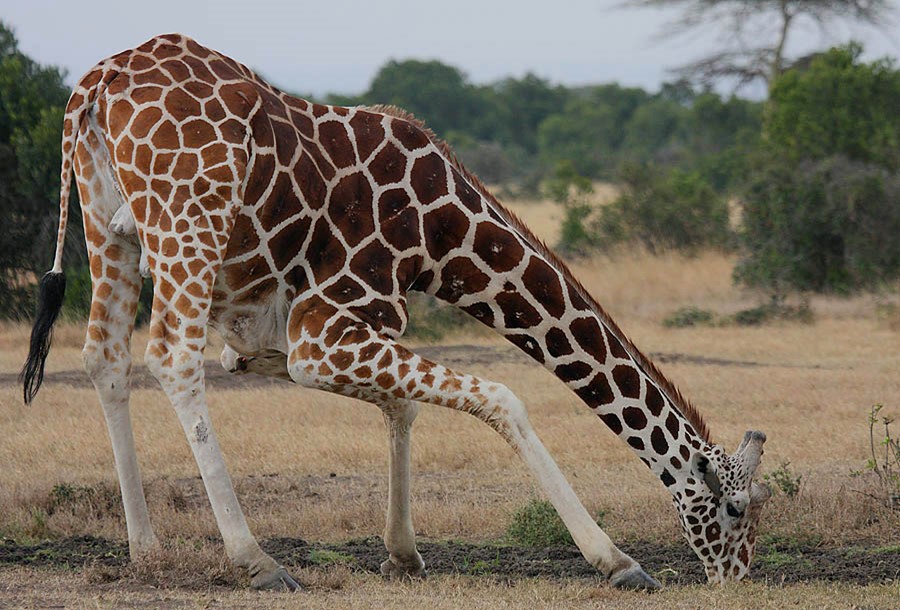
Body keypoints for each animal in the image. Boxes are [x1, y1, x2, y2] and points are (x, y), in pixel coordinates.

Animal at [17, 34, 768, 588]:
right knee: (170, 356)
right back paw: (257, 561)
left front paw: (403, 552)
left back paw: (145, 550)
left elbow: (403, 405)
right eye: (734, 509)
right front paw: (616, 561)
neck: (442, 236)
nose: (736, 577)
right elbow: (502, 398)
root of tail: (97, 84)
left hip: (110, 227)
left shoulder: (283, 337)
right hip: (187, 220)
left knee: (105, 358)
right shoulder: (321, 334)